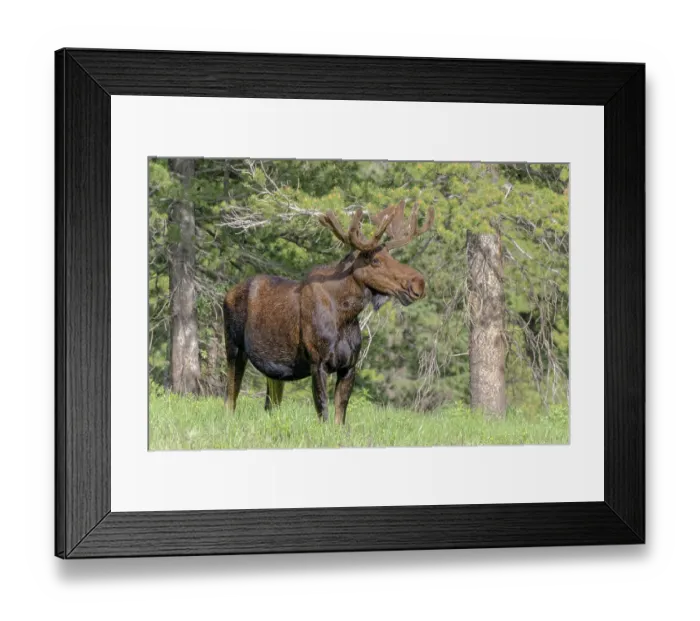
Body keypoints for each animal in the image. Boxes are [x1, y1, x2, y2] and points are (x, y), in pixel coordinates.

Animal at [222, 200, 435, 424]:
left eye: (391, 256)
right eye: (375, 261)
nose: (418, 283)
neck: (345, 316)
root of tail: (227, 293)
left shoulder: (349, 366)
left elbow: (340, 415)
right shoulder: (318, 362)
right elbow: (323, 409)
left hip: (274, 370)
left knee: (270, 403)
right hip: (234, 348)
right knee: (230, 397)